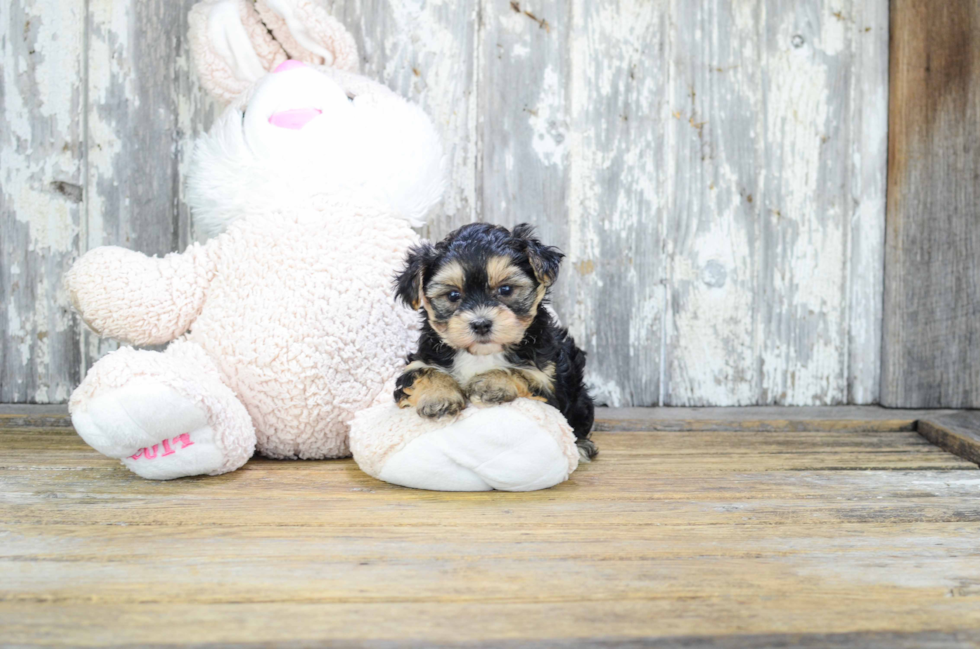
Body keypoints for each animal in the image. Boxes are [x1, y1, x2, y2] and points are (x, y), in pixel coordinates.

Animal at [392, 223, 596, 460]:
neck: (483, 354)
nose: (481, 324)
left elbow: (522, 373)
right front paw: (438, 396)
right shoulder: (420, 360)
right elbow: (424, 371)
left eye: (505, 289)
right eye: (453, 295)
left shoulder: (549, 380)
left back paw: (581, 446)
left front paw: (489, 383)